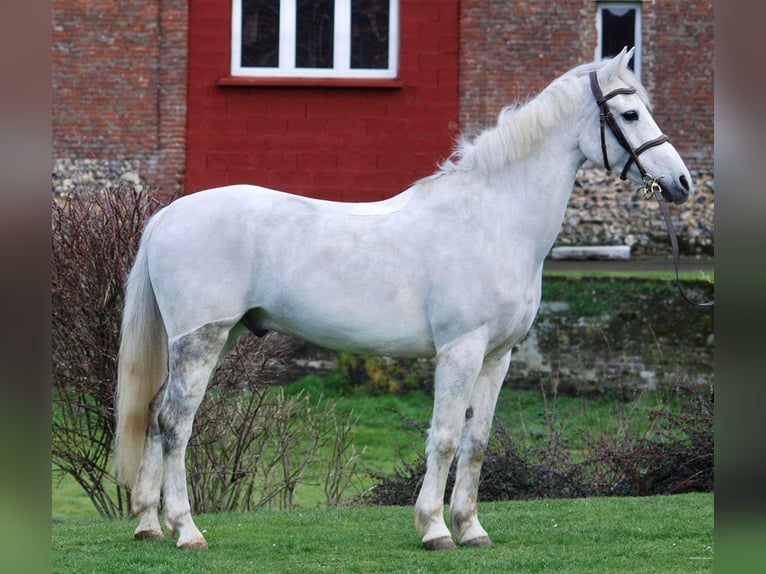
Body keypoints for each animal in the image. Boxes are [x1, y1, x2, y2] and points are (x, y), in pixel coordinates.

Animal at [114, 50, 696, 552]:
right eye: (629, 113)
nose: (682, 182)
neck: (492, 219)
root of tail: (167, 216)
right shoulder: (460, 351)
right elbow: (444, 437)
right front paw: (435, 529)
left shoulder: (497, 357)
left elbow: (476, 442)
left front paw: (471, 528)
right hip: (201, 340)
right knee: (177, 423)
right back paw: (187, 530)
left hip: (208, 339)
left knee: (155, 414)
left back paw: (148, 524)